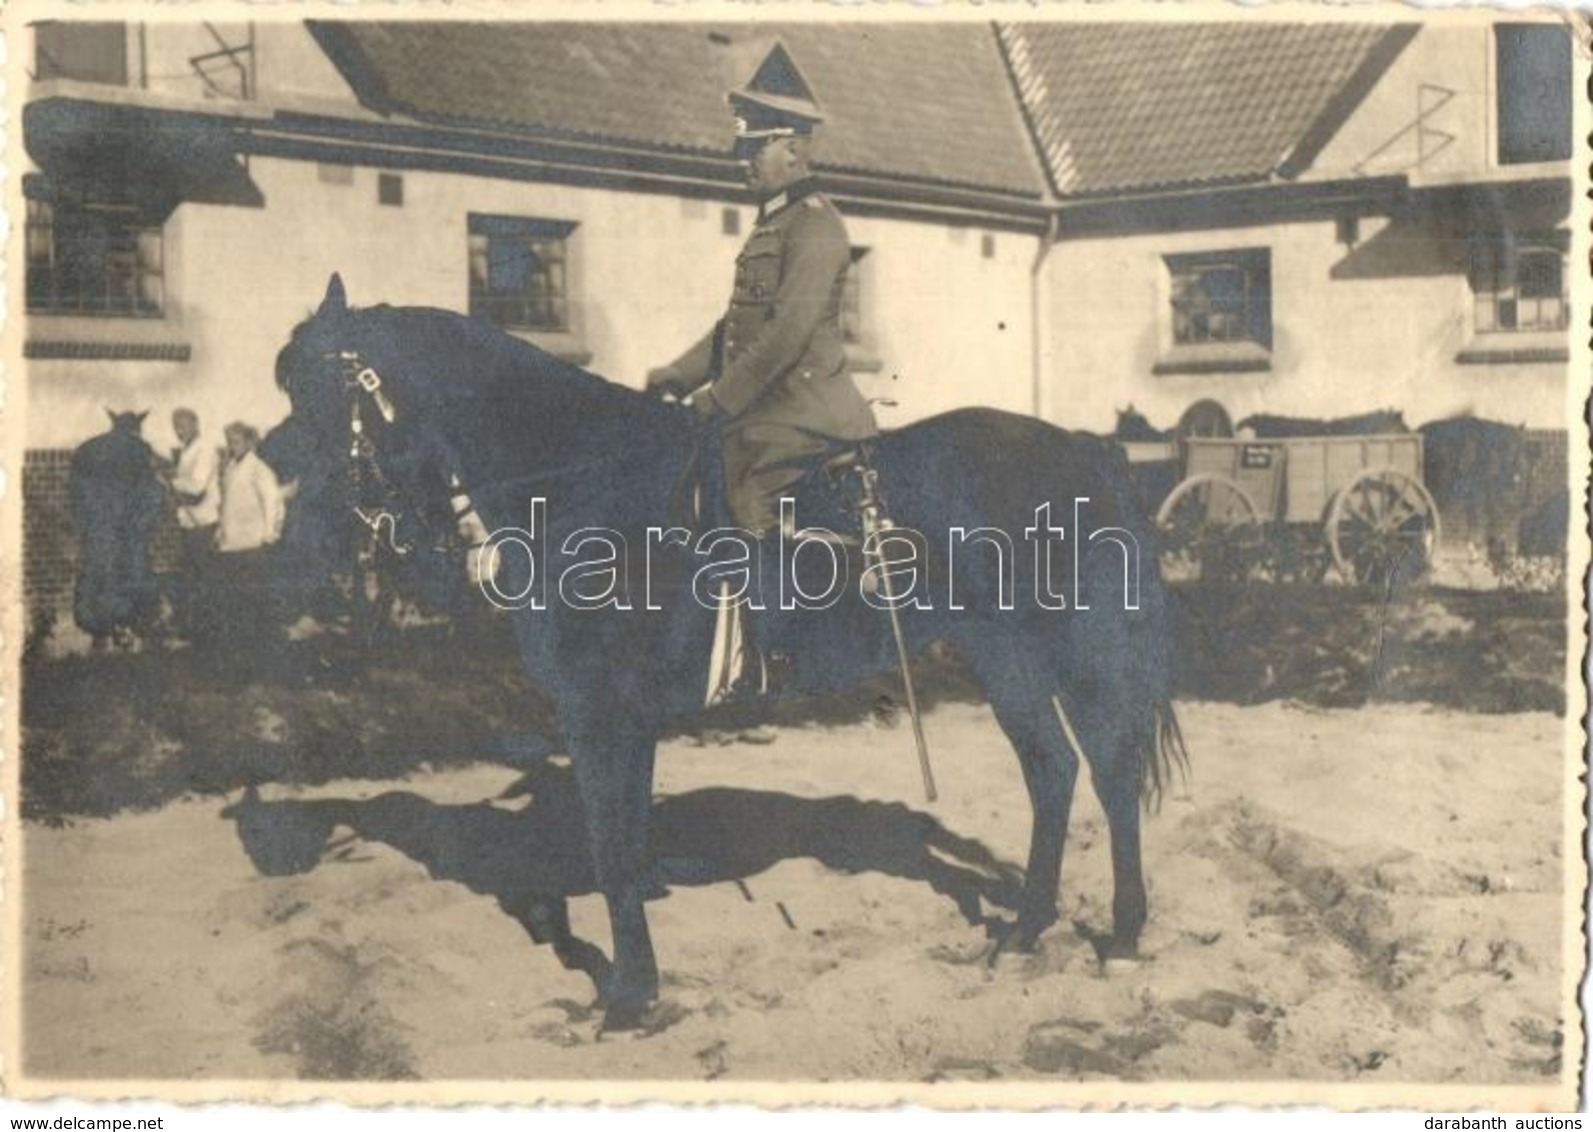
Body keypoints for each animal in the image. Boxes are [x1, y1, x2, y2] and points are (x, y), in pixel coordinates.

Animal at [280, 273, 1191, 1025]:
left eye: (319, 388)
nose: (308, 543)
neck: (581, 481)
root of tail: (1081, 447)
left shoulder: (602, 713)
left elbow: (613, 850)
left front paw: (629, 1002)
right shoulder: (613, 718)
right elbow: (621, 840)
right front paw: (634, 987)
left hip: (1076, 653)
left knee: (1108, 775)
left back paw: (1120, 935)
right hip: (1004, 659)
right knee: (1053, 773)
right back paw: (1025, 930)